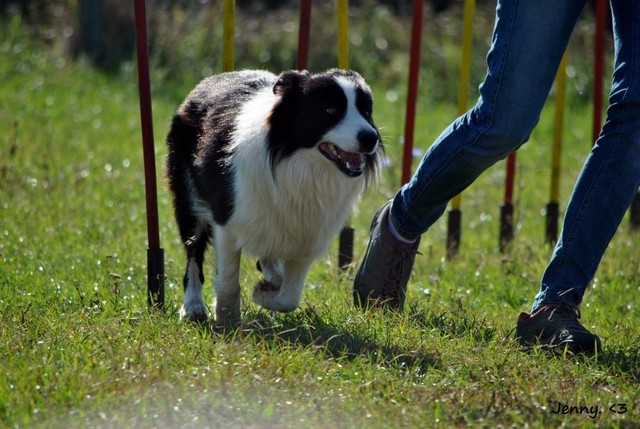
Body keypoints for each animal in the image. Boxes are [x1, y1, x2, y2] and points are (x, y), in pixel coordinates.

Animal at [166, 69, 382, 323]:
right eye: (331, 110)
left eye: (366, 110)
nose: (371, 138)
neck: (299, 165)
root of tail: (211, 80)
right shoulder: (227, 216)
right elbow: (228, 279)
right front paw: (228, 318)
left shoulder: (310, 231)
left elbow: (289, 297)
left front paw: (264, 294)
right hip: (188, 194)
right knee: (194, 248)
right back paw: (193, 305)